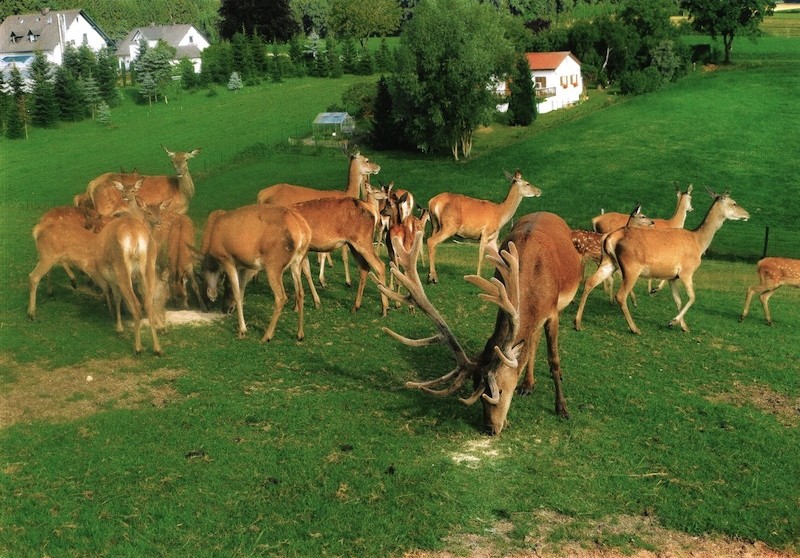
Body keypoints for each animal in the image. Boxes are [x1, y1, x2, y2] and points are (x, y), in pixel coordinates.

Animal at [200, 205, 312, 342]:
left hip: (274, 265)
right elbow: (242, 291)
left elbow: (237, 293)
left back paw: (267, 336)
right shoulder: (244, 266)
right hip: (297, 262)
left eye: (225, 286)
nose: (224, 309)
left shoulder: (227, 259)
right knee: (300, 292)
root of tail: (303, 231)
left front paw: (242, 330)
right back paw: (300, 334)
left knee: (281, 297)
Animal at [378, 213, 584, 438]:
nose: (490, 429)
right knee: (532, 340)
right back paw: (527, 384)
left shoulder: (553, 312)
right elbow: (527, 346)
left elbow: (553, 359)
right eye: (475, 388)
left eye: (498, 390)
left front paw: (562, 408)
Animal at [576, 190, 752, 334]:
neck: (698, 242)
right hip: (631, 267)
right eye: (734, 202)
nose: (747, 214)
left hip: (608, 262)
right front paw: (673, 322)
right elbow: (692, 297)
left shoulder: (672, 277)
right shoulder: (687, 271)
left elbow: (678, 300)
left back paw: (577, 322)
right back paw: (634, 328)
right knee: (621, 295)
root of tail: (610, 237)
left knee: (590, 282)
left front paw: (684, 326)